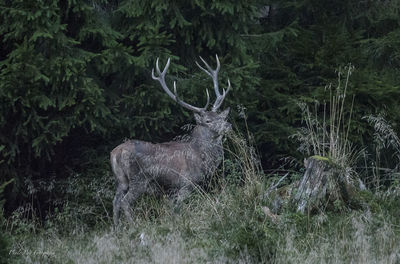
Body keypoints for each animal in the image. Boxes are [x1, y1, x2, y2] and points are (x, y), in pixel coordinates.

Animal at [111, 55, 233, 225]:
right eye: (208, 120)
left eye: (221, 117)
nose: (228, 125)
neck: (202, 158)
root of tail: (115, 153)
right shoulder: (185, 184)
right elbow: (177, 210)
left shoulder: (171, 192)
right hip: (139, 179)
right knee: (124, 202)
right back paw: (133, 226)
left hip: (121, 180)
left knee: (115, 202)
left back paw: (117, 228)